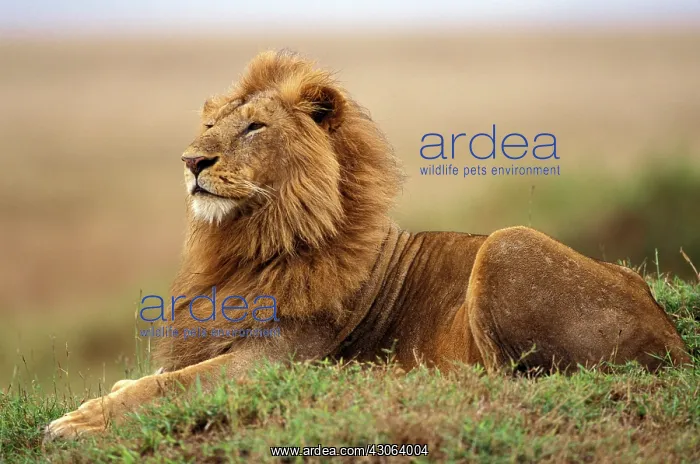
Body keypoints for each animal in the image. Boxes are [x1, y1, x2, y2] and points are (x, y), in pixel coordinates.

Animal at [46, 50, 690, 440]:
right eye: (209, 126)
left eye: (254, 126)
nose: (191, 161)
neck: (248, 243)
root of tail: (675, 342)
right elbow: (150, 379)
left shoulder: (275, 360)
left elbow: (166, 385)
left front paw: (75, 423)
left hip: (507, 245)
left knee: (499, 378)